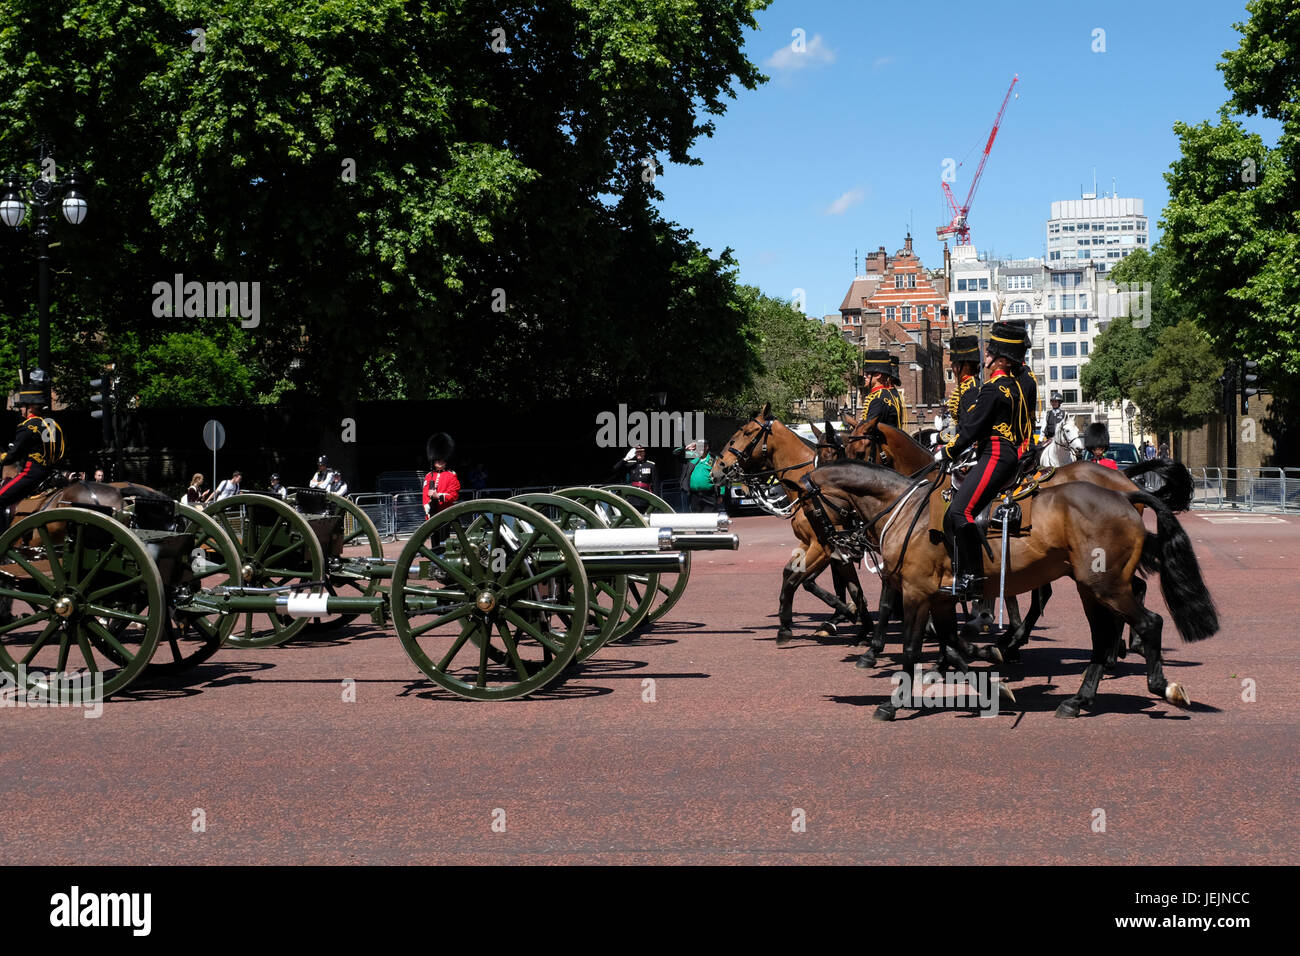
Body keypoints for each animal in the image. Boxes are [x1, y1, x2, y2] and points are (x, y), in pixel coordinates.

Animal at [712, 408, 873, 647]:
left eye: (747, 432)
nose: (717, 470)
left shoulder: (823, 546)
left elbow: (800, 581)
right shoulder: (812, 544)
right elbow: (795, 576)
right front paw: (852, 617)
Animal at [800, 460, 1216, 723]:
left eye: (812, 509)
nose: (837, 550)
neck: (907, 513)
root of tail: (1126, 494)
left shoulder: (917, 592)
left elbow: (912, 650)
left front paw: (892, 702)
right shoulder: (940, 597)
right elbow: (952, 645)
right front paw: (995, 687)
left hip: (1105, 585)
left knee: (1150, 621)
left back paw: (1162, 686)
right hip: (1090, 587)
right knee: (1103, 635)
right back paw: (1078, 698)